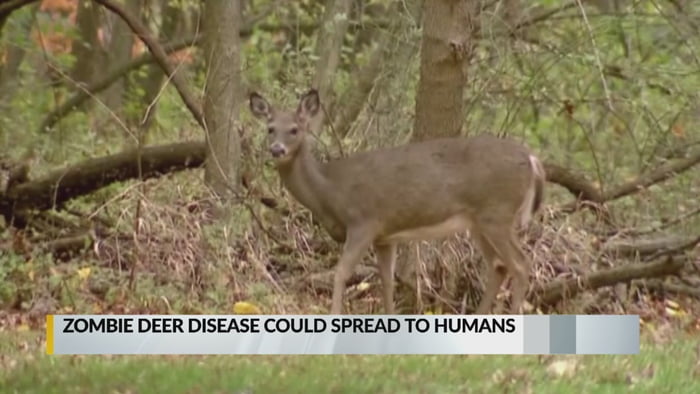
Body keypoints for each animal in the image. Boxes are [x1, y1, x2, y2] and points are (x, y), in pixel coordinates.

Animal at [247, 88, 548, 314]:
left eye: (294, 129)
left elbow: (341, 273)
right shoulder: (385, 236)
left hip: (497, 212)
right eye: (270, 129)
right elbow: (387, 280)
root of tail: (532, 158)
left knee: (520, 264)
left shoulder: (364, 221)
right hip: (479, 221)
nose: (277, 150)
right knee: (498, 266)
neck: (329, 191)